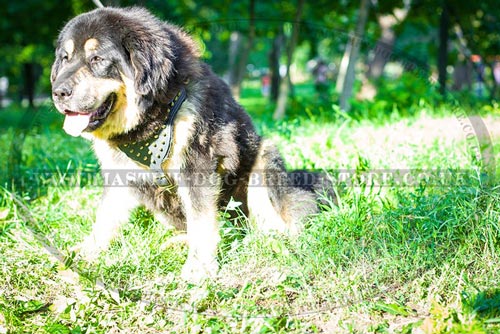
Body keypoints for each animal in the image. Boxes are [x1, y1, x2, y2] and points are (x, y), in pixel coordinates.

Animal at [49, 5, 324, 282]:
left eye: (97, 59)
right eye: (65, 58)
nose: (58, 92)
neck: (149, 118)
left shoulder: (197, 166)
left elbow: (201, 219)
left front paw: (199, 266)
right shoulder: (119, 173)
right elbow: (104, 218)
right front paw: (81, 255)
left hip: (265, 159)